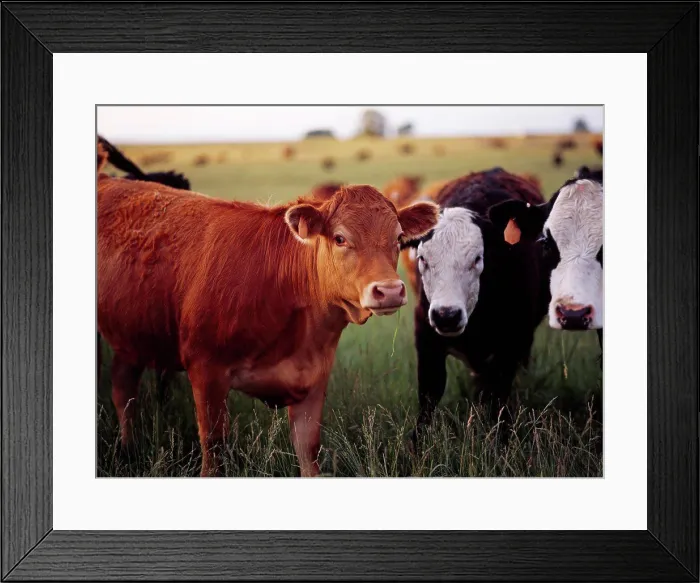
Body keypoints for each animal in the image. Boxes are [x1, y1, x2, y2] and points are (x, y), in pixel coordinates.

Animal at [98, 178, 438, 476]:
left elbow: (308, 452)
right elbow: (214, 449)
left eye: (398, 238)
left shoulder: (312, 380)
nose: (389, 290)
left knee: (123, 388)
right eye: (340, 238)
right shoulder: (206, 372)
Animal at [404, 168, 549, 441]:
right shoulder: (425, 338)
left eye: (477, 258)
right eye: (422, 258)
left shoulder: (512, 344)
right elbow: (429, 394)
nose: (446, 315)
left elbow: (498, 401)